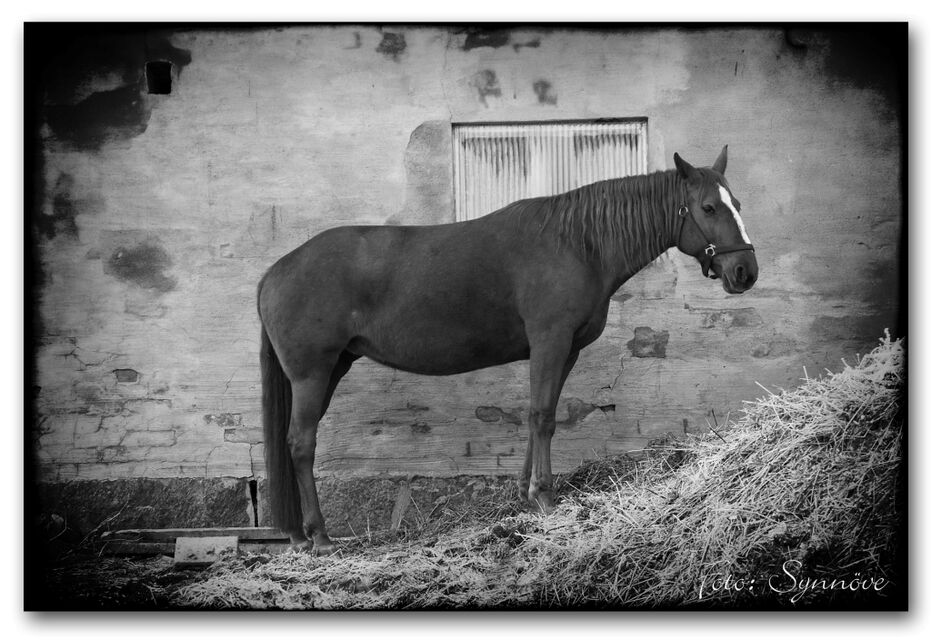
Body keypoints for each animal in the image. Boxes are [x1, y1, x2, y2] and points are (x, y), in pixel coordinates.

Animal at [257, 146, 758, 554]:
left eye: (738, 204)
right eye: (708, 206)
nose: (745, 271)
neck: (579, 243)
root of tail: (275, 271)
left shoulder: (564, 351)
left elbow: (541, 414)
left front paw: (525, 495)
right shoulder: (550, 341)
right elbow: (542, 416)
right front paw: (545, 497)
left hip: (332, 369)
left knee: (292, 442)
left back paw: (300, 535)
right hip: (312, 373)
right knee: (301, 443)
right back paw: (320, 537)